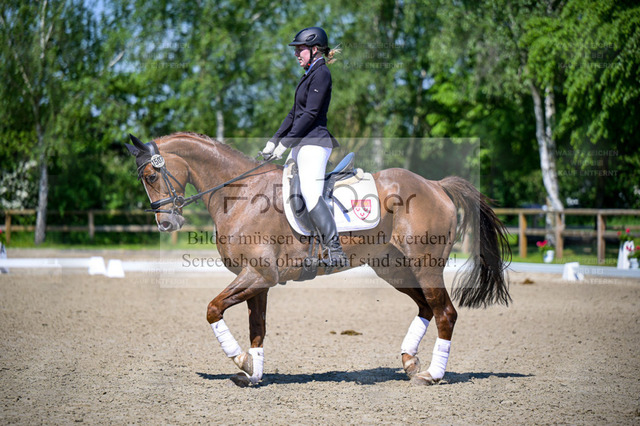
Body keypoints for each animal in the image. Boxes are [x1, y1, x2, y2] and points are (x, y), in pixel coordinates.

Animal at [125, 131, 511, 386]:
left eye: (151, 174)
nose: (166, 223)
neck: (241, 196)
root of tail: (435, 185)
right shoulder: (258, 280)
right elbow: (257, 327)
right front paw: (255, 372)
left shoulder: (259, 276)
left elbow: (212, 309)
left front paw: (241, 361)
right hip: (394, 269)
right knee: (426, 308)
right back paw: (410, 362)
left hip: (426, 266)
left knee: (445, 312)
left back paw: (432, 374)